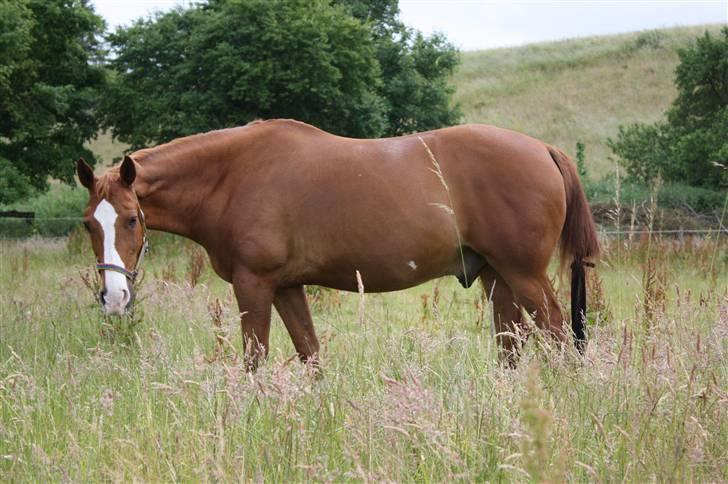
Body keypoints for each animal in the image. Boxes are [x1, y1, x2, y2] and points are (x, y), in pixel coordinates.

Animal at [76, 119, 599, 367]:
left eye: (130, 219)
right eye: (88, 225)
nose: (114, 297)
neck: (232, 176)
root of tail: (543, 149)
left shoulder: (253, 285)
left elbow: (254, 360)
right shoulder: (287, 288)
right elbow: (311, 356)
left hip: (524, 276)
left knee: (559, 339)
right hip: (497, 278)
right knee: (512, 349)